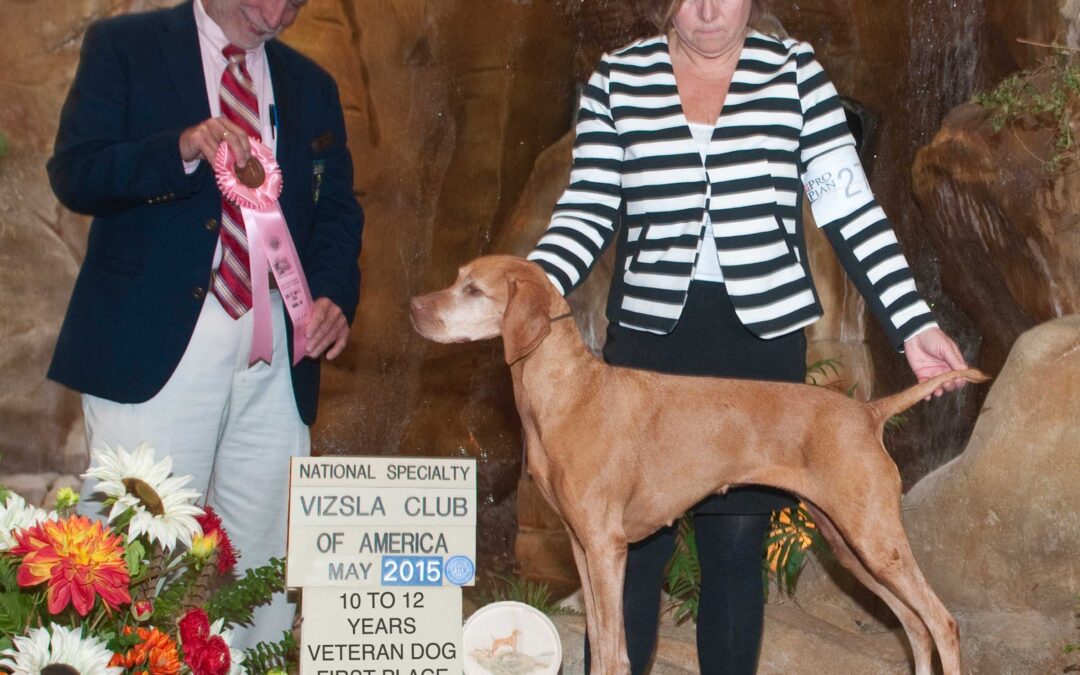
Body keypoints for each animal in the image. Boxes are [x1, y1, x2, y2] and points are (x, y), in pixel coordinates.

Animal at [408, 253, 984, 673]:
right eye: (456, 279)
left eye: (473, 290)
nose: (412, 307)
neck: (572, 392)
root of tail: (867, 411)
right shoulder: (579, 545)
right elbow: (602, 645)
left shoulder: (607, 546)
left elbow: (614, 654)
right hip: (848, 544)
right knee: (914, 624)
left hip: (873, 538)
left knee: (942, 622)